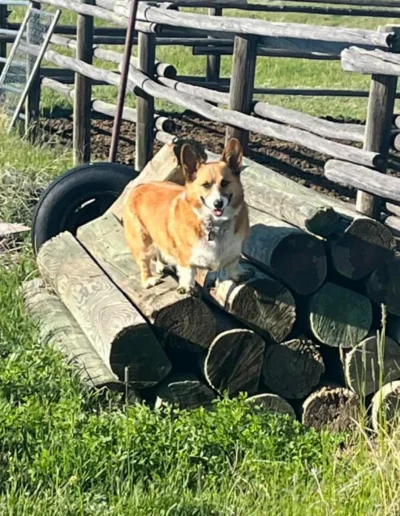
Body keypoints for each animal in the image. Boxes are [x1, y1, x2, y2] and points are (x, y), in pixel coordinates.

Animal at [123, 138, 252, 294]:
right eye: (206, 185)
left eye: (225, 183)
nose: (218, 203)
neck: (215, 224)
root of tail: (140, 186)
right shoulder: (185, 256)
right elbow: (188, 271)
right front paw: (186, 286)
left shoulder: (235, 250)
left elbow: (233, 264)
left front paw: (238, 274)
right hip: (142, 242)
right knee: (144, 262)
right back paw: (148, 280)